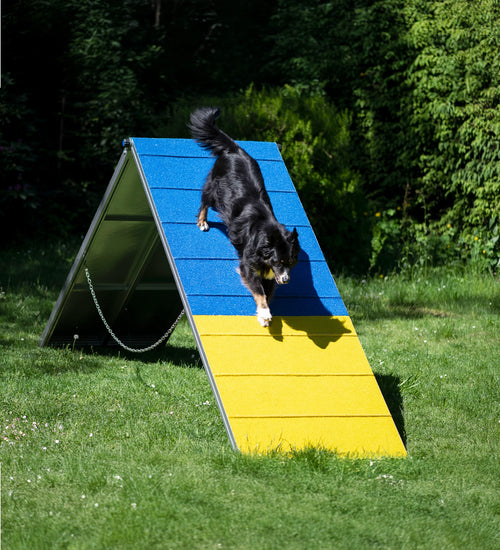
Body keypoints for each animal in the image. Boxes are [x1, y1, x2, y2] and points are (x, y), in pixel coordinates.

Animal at [189, 107, 300, 327]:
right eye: (279, 261)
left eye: (291, 262)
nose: (286, 280)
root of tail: (235, 149)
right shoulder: (249, 263)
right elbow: (259, 291)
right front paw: (264, 314)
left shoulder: (269, 274)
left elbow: (267, 291)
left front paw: (264, 311)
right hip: (216, 188)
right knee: (205, 199)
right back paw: (202, 221)